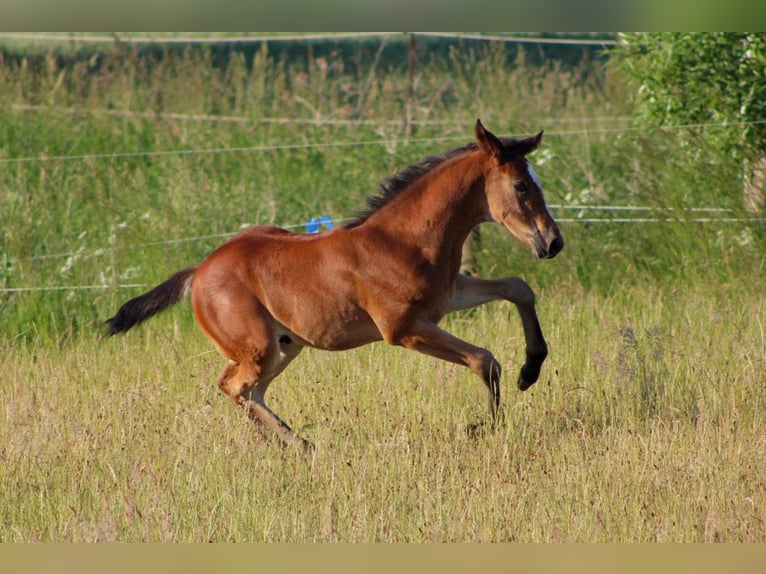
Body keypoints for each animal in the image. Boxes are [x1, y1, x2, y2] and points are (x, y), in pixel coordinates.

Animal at [105, 120, 564, 450]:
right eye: (521, 186)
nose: (552, 242)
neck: (404, 239)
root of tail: (199, 271)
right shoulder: (403, 330)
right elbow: (484, 359)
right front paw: (483, 427)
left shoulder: (447, 297)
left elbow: (518, 287)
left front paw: (531, 368)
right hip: (260, 348)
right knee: (235, 386)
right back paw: (299, 444)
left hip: (284, 346)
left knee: (247, 389)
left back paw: (289, 443)